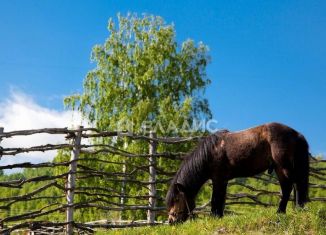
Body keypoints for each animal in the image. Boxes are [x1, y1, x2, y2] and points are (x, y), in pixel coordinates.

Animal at [167, 123, 310, 224]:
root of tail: (297, 134)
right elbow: (221, 199)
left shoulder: (218, 179)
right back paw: (298, 209)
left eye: (177, 199)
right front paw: (219, 216)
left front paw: (214, 217)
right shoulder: (223, 180)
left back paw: (280, 212)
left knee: (288, 188)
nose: (171, 221)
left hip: (282, 167)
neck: (211, 152)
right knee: (297, 186)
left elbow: (215, 199)